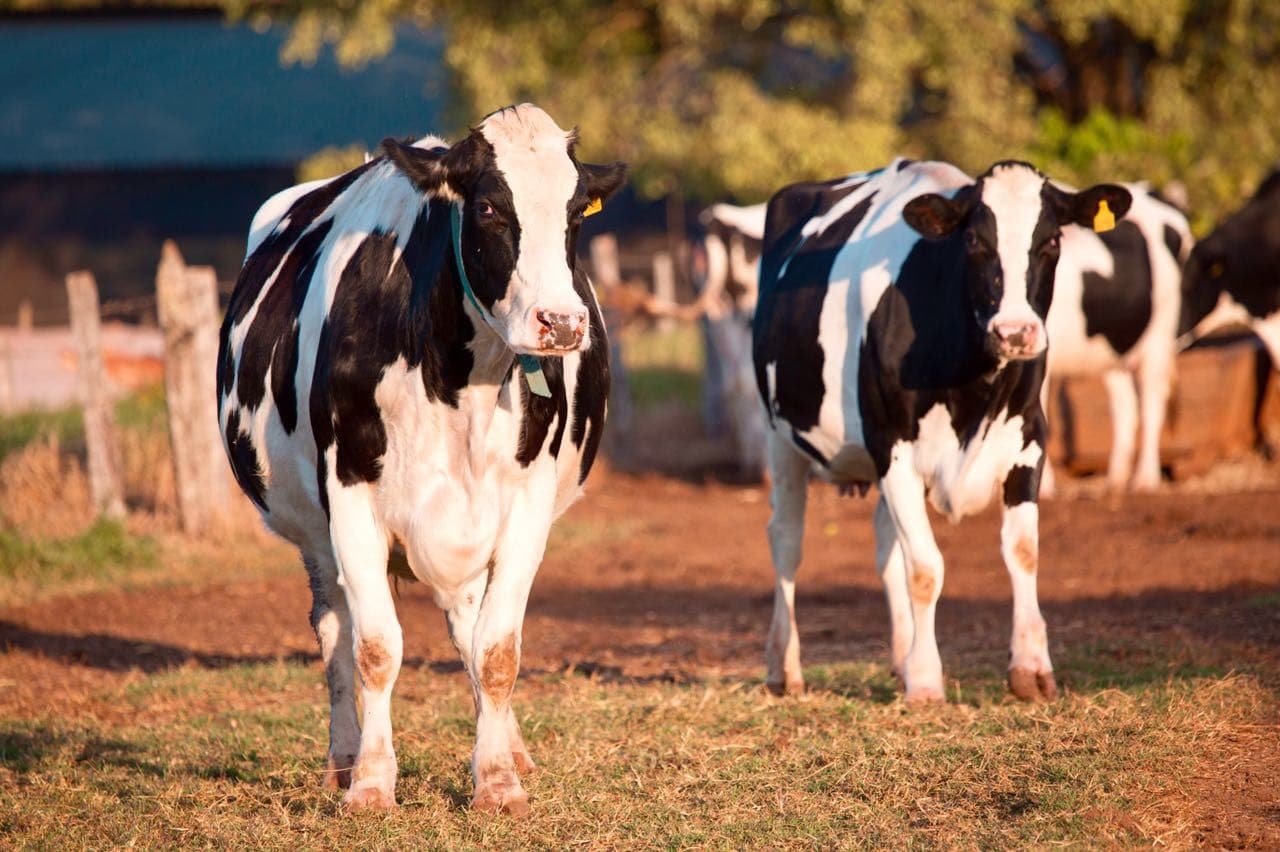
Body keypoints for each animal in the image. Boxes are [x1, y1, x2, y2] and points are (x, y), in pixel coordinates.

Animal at [217, 104, 626, 814]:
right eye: (488, 207)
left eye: (576, 212)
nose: (563, 323)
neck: (463, 383)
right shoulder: (349, 496)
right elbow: (375, 648)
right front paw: (371, 784)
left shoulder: (527, 505)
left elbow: (496, 650)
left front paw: (498, 781)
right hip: (314, 535)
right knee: (334, 632)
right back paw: (343, 760)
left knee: (467, 628)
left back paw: (508, 748)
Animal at [752, 158, 1130, 703]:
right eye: (974, 241)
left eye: (1052, 240)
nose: (1015, 332)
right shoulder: (892, 447)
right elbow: (926, 568)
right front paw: (928, 682)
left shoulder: (1028, 441)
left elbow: (1023, 552)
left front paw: (1031, 669)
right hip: (781, 437)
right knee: (786, 540)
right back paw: (785, 667)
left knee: (886, 545)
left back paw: (900, 658)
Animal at [1043, 185, 1193, 492]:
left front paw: (1044, 487)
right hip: (1115, 350)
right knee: (1126, 406)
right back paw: (1116, 477)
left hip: (1159, 333)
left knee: (1151, 400)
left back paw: (1145, 478)